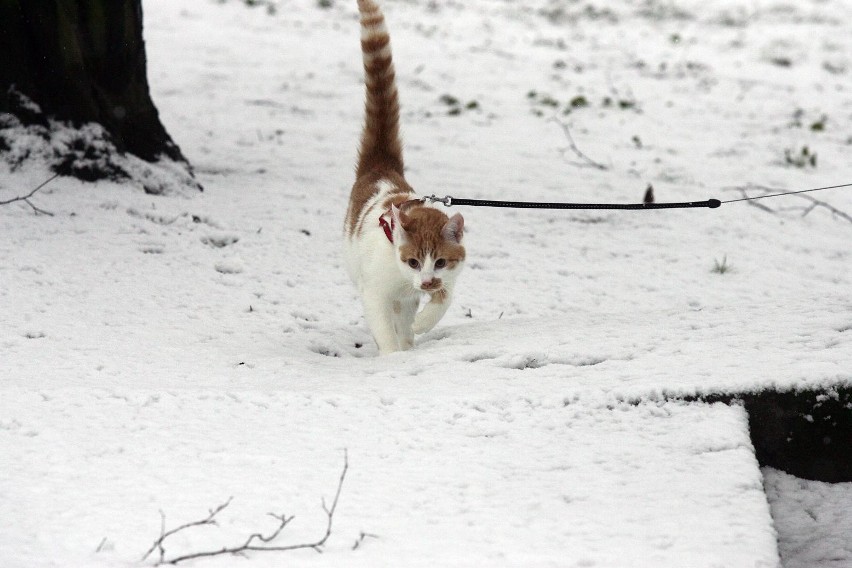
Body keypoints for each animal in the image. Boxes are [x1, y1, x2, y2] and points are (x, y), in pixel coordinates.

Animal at [344, 0, 466, 356]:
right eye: (413, 261)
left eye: (439, 262)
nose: (425, 281)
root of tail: (382, 168)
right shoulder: (375, 292)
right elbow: (384, 329)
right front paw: (393, 358)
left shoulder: (446, 278)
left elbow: (444, 298)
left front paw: (421, 325)